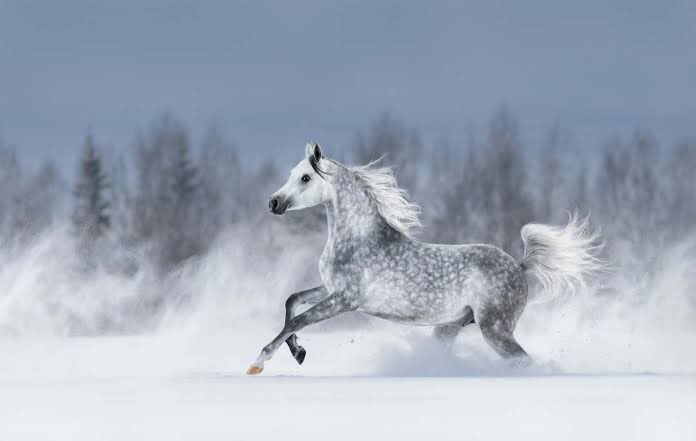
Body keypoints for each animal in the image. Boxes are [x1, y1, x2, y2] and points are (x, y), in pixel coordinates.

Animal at [247, 143, 603, 375]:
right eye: (292, 173)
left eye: (306, 178)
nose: (273, 202)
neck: (358, 239)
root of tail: (519, 264)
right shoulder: (330, 289)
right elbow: (292, 302)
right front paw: (299, 352)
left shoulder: (345, 299)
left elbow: (297, 319)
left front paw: (258, 363)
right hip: (450, 327)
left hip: (495, 329)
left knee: (523, 361)